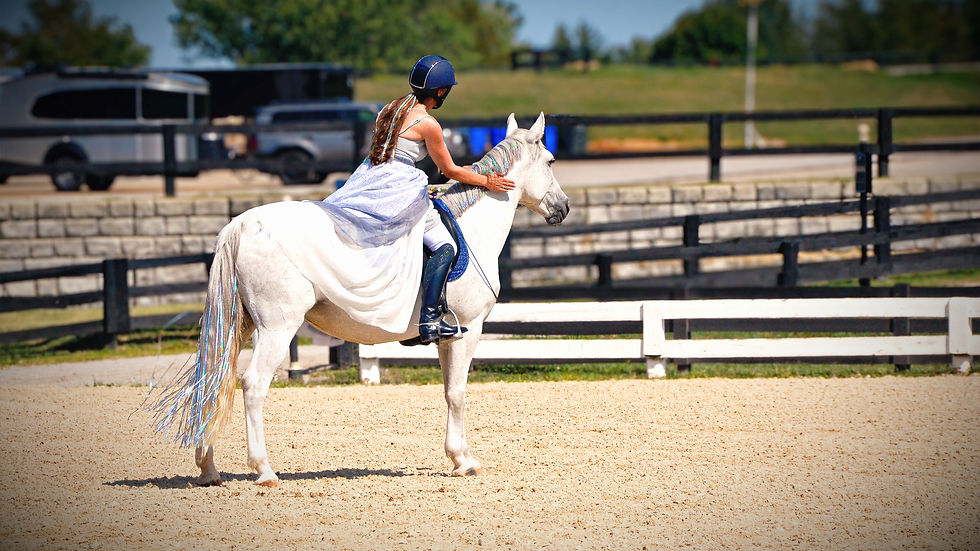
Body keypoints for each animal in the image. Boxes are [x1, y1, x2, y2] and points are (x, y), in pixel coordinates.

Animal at [150, 112, 570, 486]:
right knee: (253, 385)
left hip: (240, 326)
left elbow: (448, 391)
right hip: (277, 328)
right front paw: (464, 461)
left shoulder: (447, 337)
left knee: (213, 379)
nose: (563, 207)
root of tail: (241, 224)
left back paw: (208, 469)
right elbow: (457, 392)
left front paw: (457, 457)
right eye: (551, 160)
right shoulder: (469, 329)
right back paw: (264, 471)